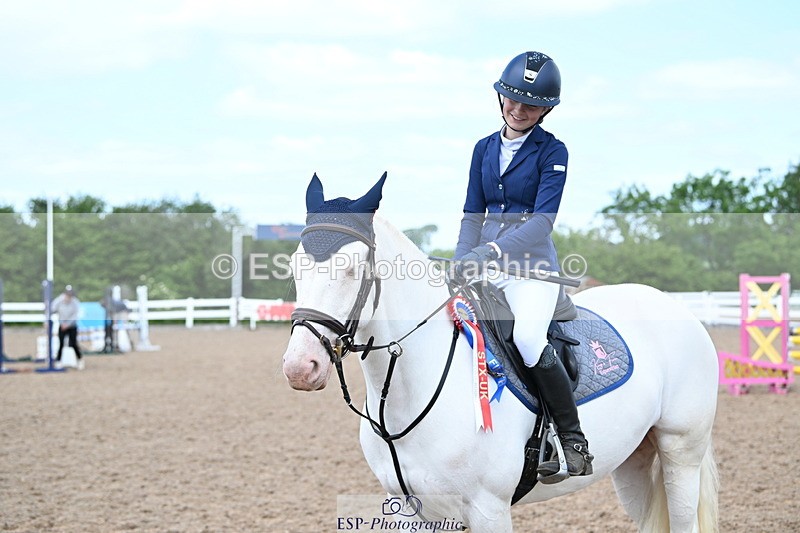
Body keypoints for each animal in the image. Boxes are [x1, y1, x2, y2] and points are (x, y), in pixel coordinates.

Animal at [282, 174, 719, 532]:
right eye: (296, 266)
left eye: (354, 268)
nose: (300, 367)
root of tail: (676, 306)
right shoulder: (413, 511)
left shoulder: (488, 509)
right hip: (634, 461)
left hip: (681, 451)